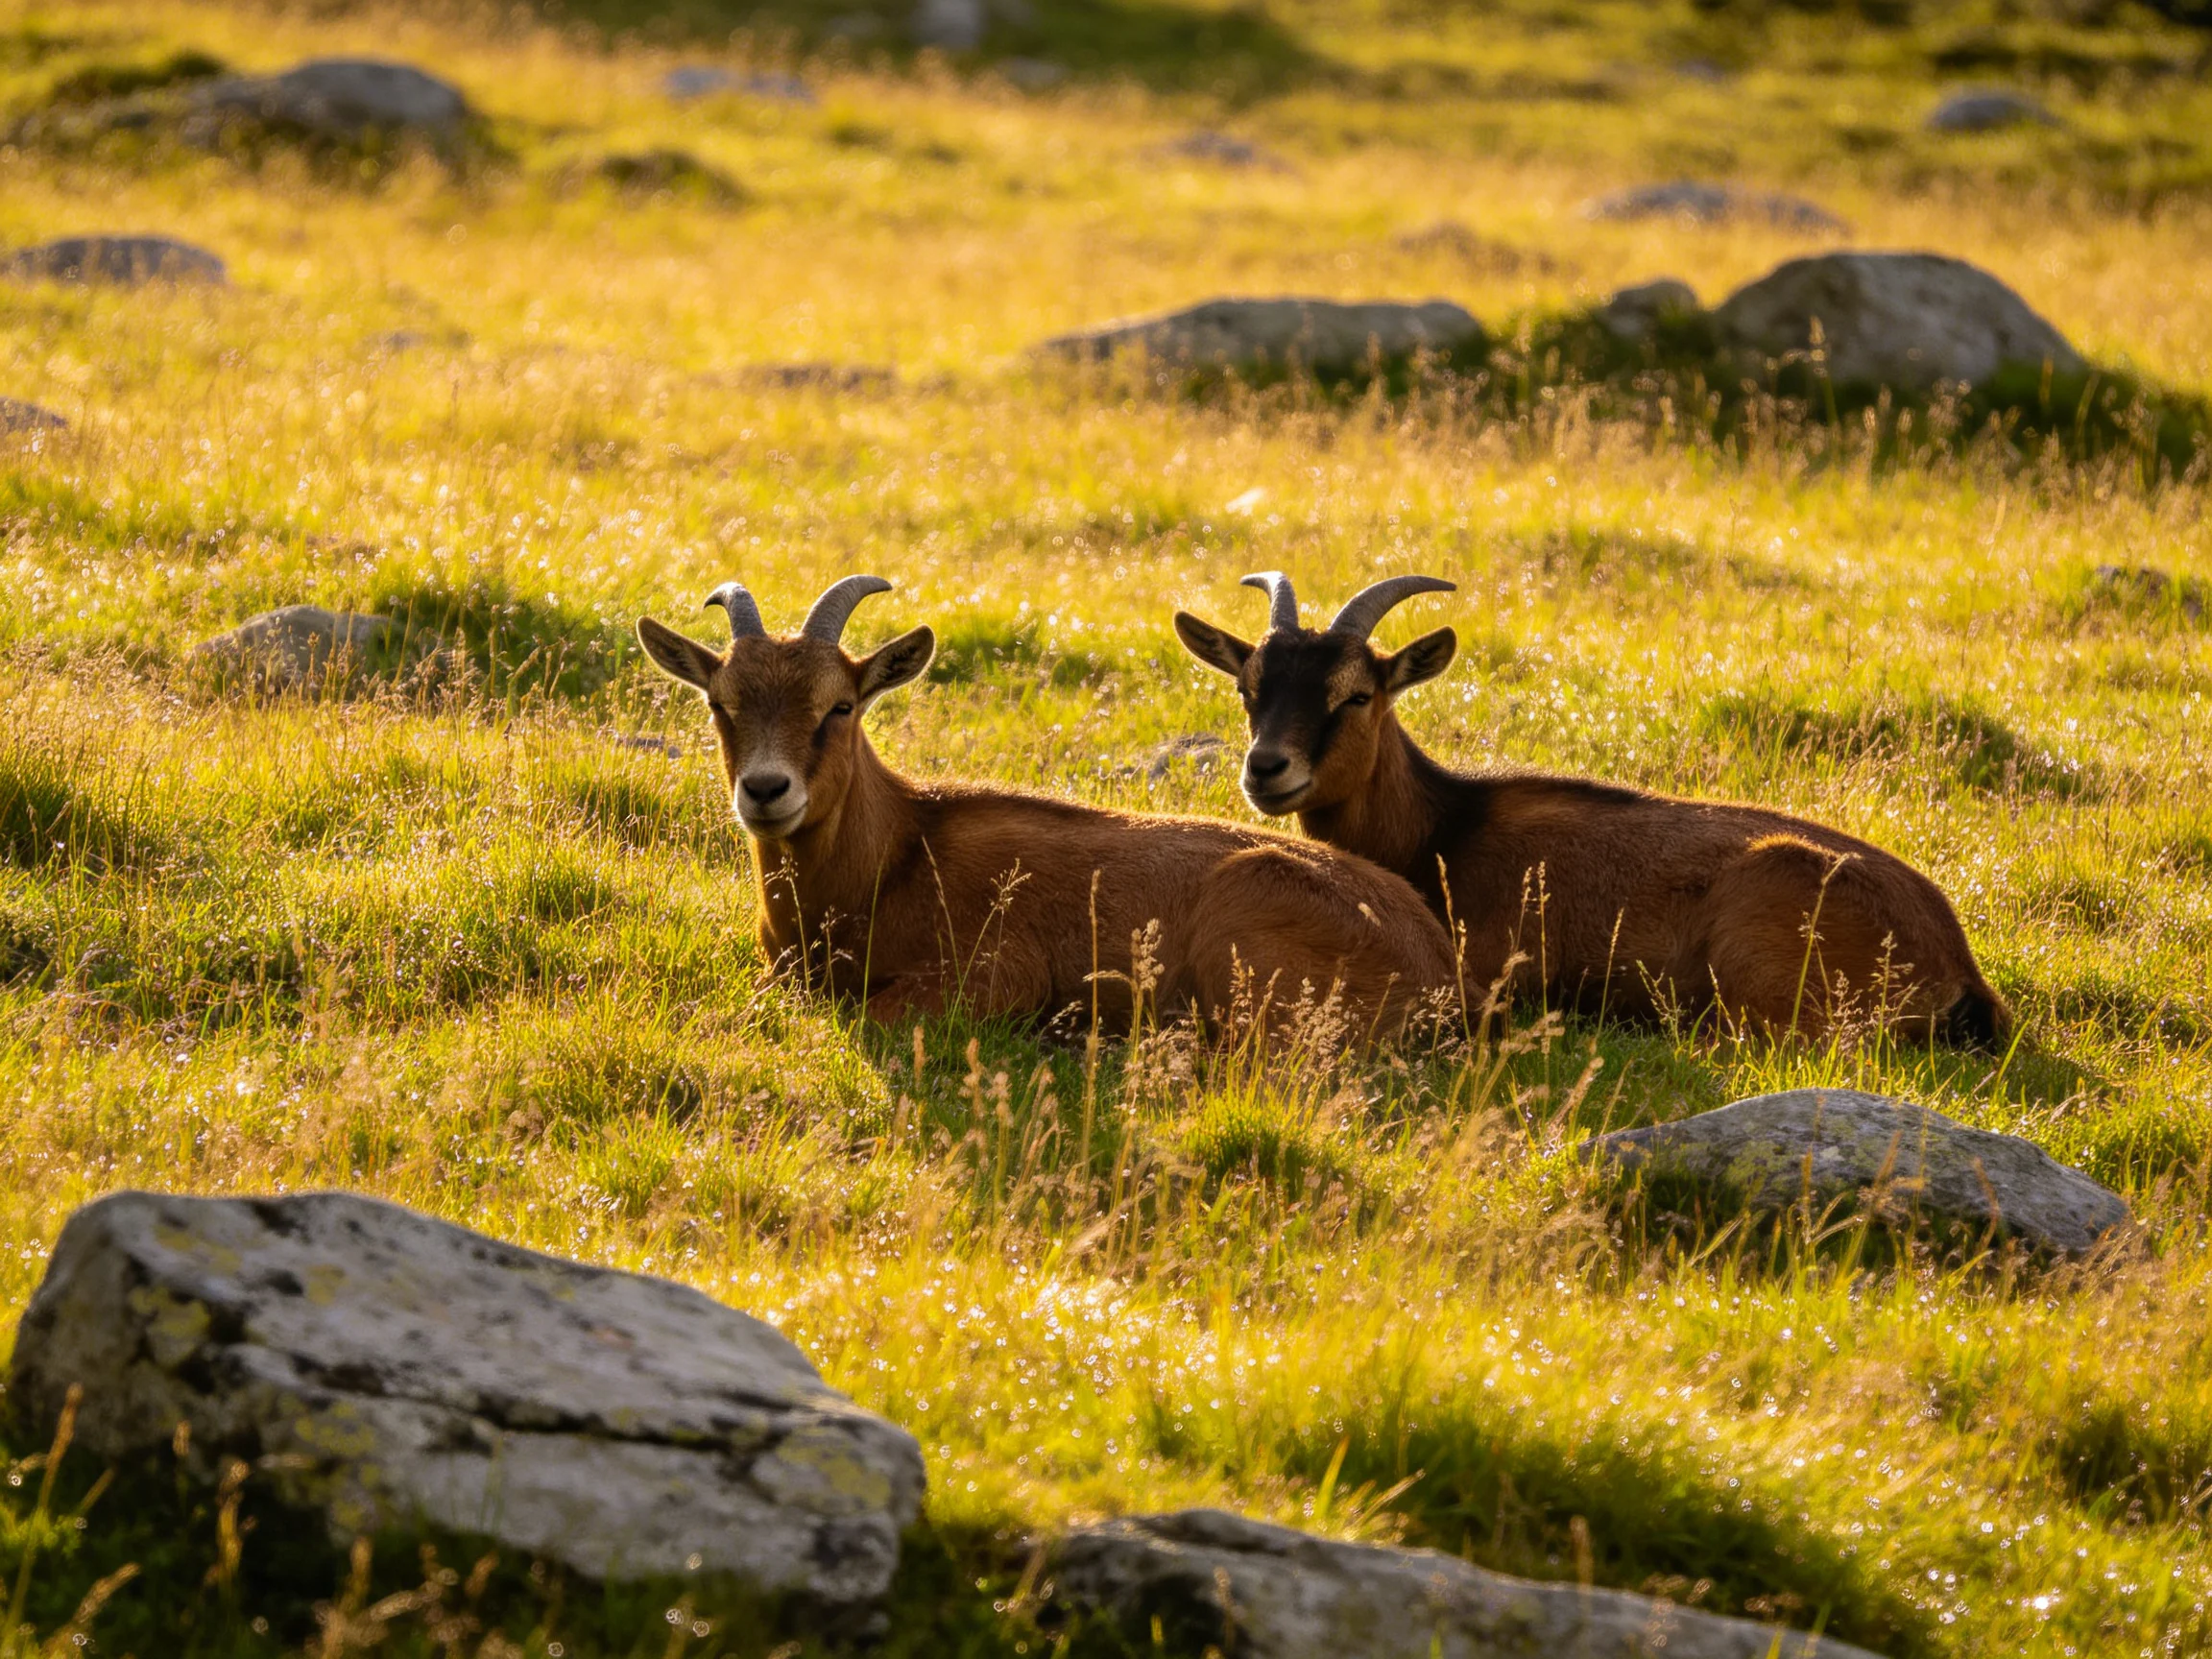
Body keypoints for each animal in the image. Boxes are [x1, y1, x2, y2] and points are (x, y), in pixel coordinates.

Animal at [636, 575, 1458, 1035]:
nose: (766, 790)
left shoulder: (998, 974)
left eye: (839, 707)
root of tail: (1438, 967)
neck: (896, 855)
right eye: (719, 703)